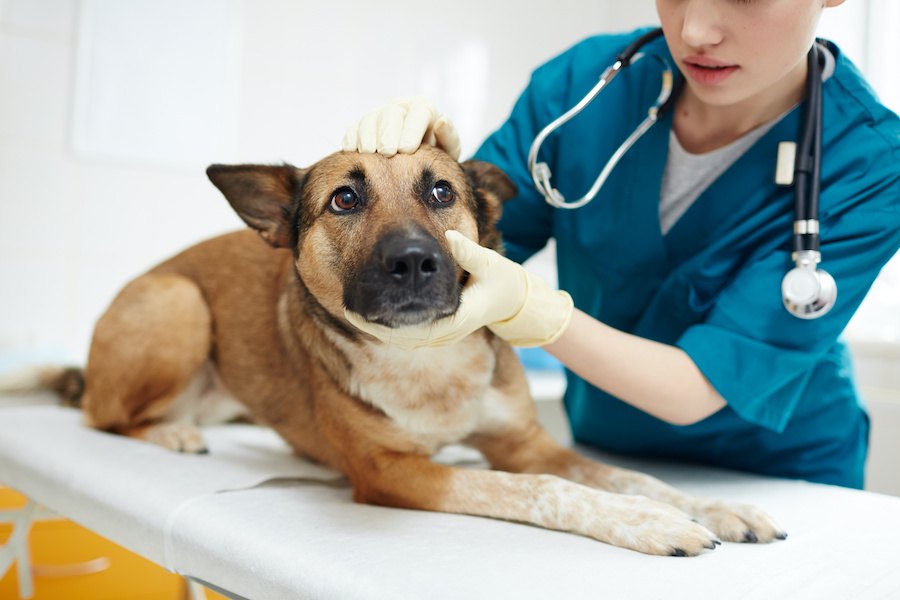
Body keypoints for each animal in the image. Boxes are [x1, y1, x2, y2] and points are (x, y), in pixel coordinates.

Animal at [49, 144, 784, 552]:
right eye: (345, 198)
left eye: (441, 191)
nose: (411, 262)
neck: (426, 358)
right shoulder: (394, 473)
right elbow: (545, 490)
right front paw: (647, 522)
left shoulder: (525, 443)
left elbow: (625, 475)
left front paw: (712, 506)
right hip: (178, 303)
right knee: (101, 414)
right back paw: (168, 432)